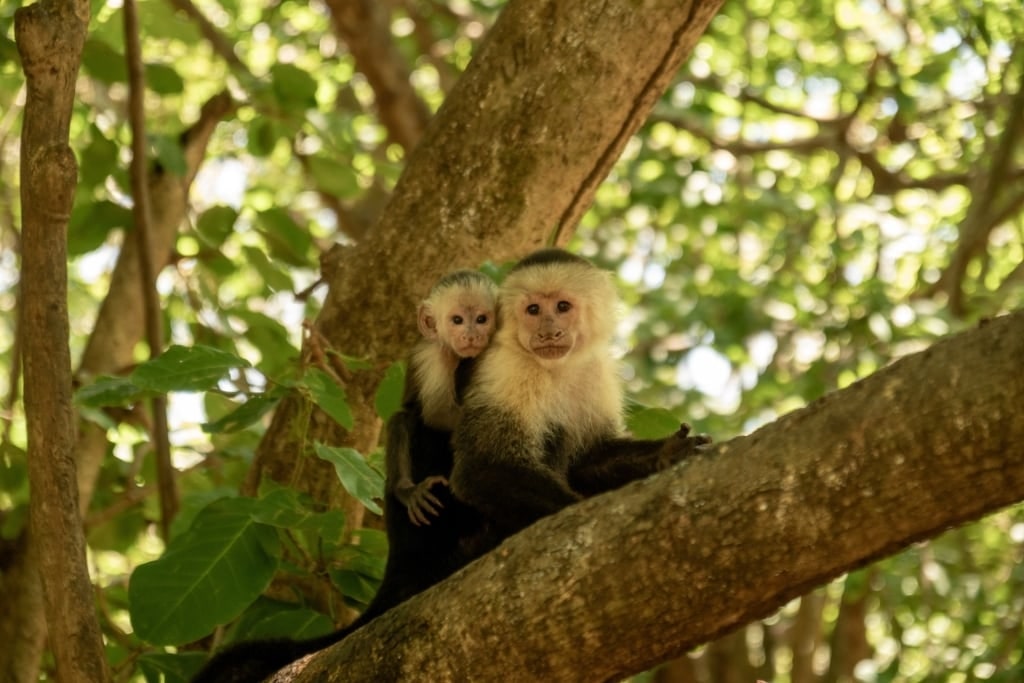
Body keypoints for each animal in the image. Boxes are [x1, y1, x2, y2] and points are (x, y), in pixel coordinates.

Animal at [191, 270, 497, 683]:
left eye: (482, 318)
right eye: (457, 320)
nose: (472, 336)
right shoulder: (429, 357)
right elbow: (421, 414)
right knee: (417, 427)